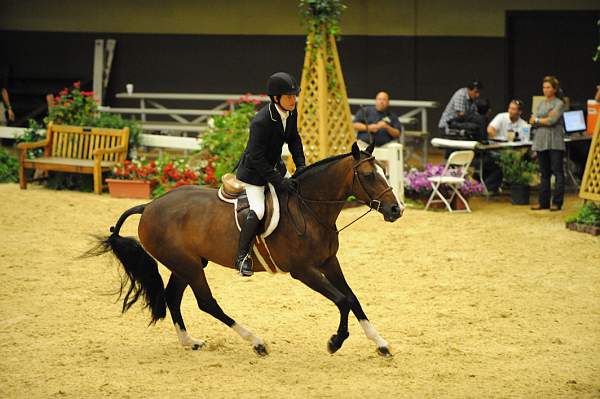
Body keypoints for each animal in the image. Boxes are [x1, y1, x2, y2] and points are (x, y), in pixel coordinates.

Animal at [89, 142, 406, 358]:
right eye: (369, 175)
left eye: (383, 172)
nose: (396, 209)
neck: (311, 209)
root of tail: (150, 205)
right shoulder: (303, 271)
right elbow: (341, 300)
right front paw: (335, 342)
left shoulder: (329, 262)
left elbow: (353, 299)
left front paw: (380, 344)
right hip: (188, 265)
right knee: (206, 302)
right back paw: (256, 341)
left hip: (188, 264)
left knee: (173, 297)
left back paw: (190, 341)